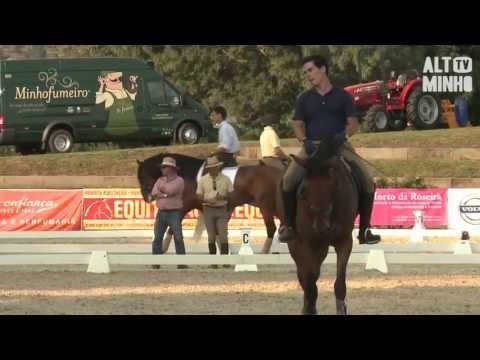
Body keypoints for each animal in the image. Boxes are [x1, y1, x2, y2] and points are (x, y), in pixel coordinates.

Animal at [137, 153, 284, 255]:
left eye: (142, 176)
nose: (147, 198)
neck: (190, 175)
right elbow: (216, 232)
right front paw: (226, 250)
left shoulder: (185, 206)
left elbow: (173, 227)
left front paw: (162, 248)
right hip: (272, 206)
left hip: (265, 206)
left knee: (271, 228)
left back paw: (265, 252)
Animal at [284, 139, 358, 316]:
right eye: (303, 190)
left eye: (335, 185)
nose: (320, 227)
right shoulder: (305, 244)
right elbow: (310, 284)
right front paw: (309, 309)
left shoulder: (344, 241)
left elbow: (340, 284)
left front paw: (342, 309)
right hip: (298, 246)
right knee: (306, 279)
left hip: (321, 249)